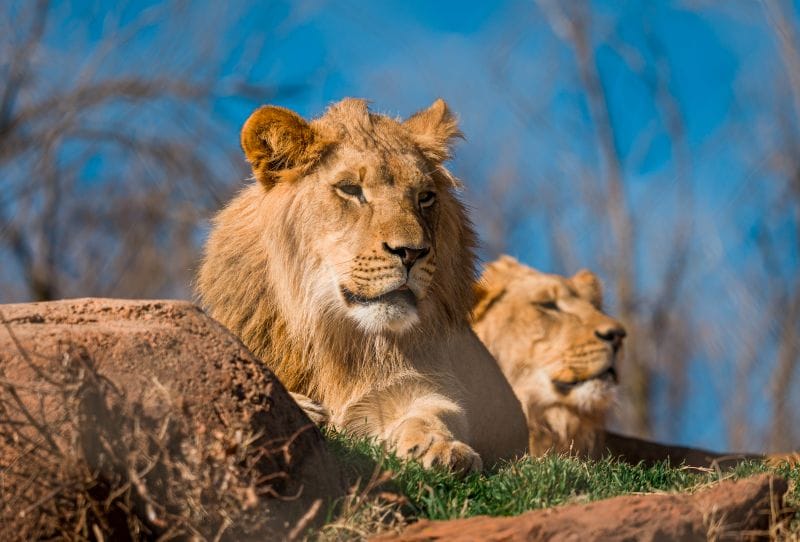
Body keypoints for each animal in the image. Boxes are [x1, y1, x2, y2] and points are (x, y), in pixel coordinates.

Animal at [197, 98, 528, 473]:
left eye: (425, 197)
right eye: (351, 189)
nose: (411, 252)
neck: (331, 332)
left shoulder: (413, 384)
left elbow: (432, 414)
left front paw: (441, 449)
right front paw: (305, 408)